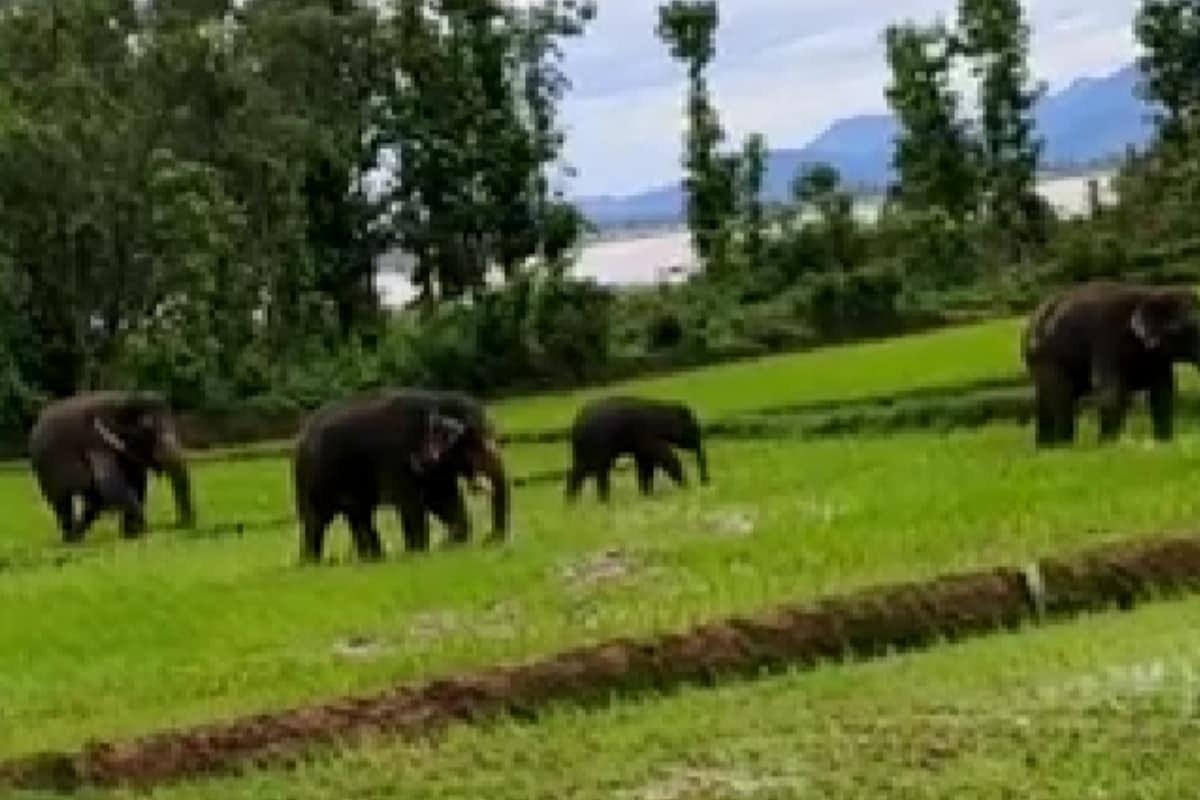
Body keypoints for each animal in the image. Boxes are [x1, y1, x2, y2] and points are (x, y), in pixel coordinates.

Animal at [29, 390, 195, 542]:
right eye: (146, 429)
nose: (178, 525)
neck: (124, 401)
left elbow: (137, 483)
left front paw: (132, 534)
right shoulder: (95, 441)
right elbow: (111, 485)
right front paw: (142, 530)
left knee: (94, 502)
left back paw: (78, 534)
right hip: (44, 471)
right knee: (63, 503)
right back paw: (71, 539)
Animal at [293, 388, 509, 562]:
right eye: (474, 445)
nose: (489, 540)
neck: (436, 401)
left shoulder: (437, 468)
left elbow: (444, 499)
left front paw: (451, 545)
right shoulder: (396, 458)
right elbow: (411, 503)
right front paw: (418, 552)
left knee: (358, 514)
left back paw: (373, 559)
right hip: (312, 478)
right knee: (316, 520)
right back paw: (312, 563)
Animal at [565, 396, 709, 502]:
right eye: (693, 429)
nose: (705, 482)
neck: (663, 407)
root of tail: (574, 427)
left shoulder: (642, 444)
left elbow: (645, 464)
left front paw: (647, 494)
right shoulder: (648, 436)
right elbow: (663, 457)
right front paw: (684, 486)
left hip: (585, 449)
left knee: (580, 469)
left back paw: (572, 504)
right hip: (597, 444)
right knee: (598, 469)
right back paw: (604, 501)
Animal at [1022, 281, 1200, 446]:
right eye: (1191, 328)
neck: (1151, 293)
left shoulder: (1157, 358)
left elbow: (1163, 392)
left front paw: (1164, 443)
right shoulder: (1107, 339)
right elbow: (1111, 391)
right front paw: (1109, 446)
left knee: (1044, 402)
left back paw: (1045, 447)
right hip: (1048, 358)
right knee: (1061, 400)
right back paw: (1064, 446)